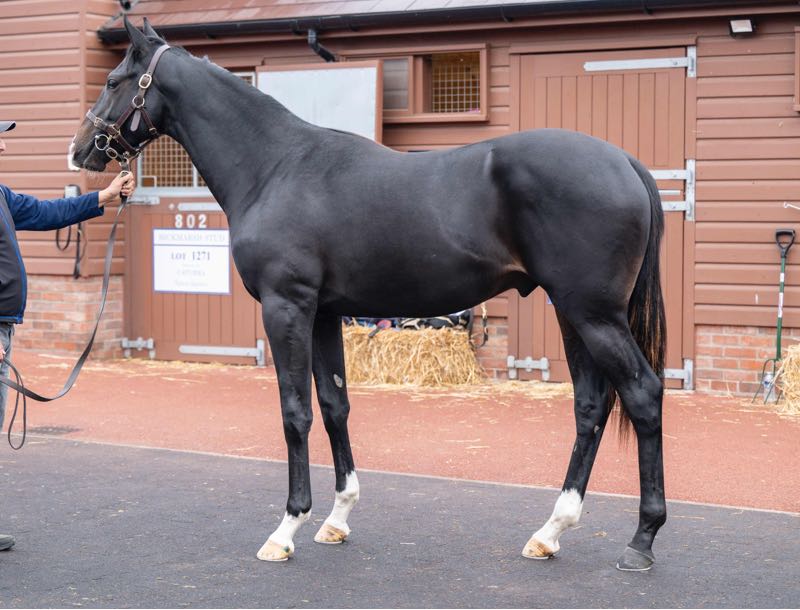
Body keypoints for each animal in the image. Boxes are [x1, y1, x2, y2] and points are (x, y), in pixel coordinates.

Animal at [71, 17, 667, 572]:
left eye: (114, 81)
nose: (80, 151)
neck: (276, 167)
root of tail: (625, 161)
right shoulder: (323, 315)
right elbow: (335, 405)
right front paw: (336, 519)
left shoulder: (287, 307)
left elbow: (295, 411)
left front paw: (286, 528)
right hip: (572, 314)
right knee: (590, 405)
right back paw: (550, 532)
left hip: (593, 314)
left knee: (642, 394)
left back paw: (641, 540)